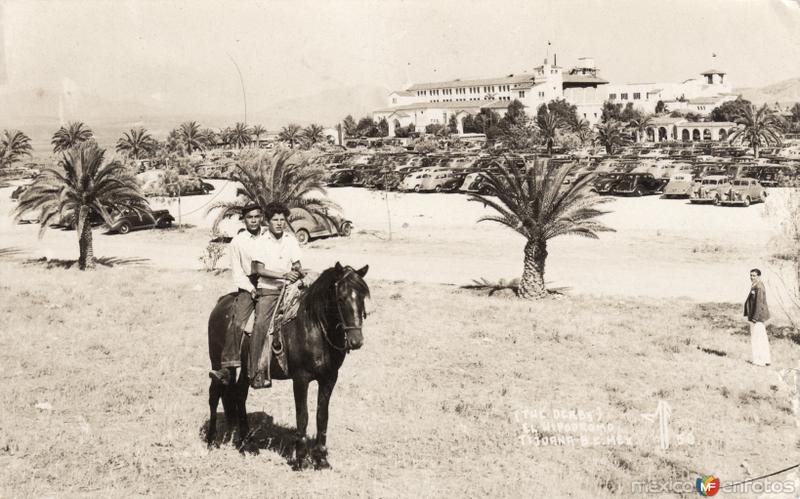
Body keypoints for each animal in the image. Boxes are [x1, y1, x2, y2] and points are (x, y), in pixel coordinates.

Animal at [206, 264, 368, 470]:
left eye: (362, 297)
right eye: (340, 298)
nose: (356, 341)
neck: (313, 327)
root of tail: (221, 303)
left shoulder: (329, 379)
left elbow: (322, 416)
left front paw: (321, 459)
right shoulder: (300, 379)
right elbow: (303, 415)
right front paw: (301, 459)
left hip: (246, 370)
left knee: (238, 395)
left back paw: (246, 443)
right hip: (217, 362)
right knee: (215, 394)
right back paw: (211, 440)